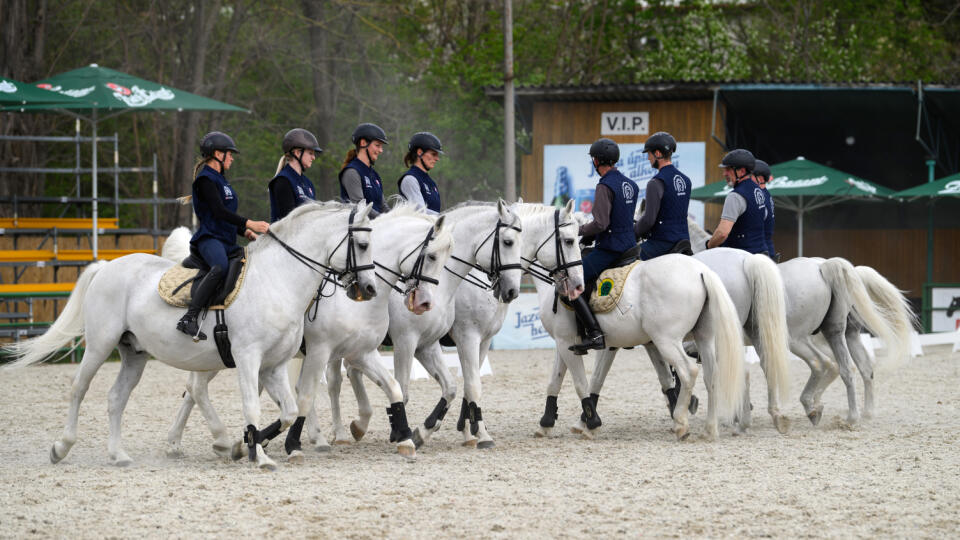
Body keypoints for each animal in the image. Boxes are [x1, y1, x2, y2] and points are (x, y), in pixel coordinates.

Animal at [4, 200, 378, 470]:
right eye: (362, 243)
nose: (369, 289)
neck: (278, 279)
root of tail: (108, 265)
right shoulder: (248, 358)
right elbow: (252, 406)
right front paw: (256, 454)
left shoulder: (273, 365)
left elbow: (287, 411)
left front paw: (245, 446)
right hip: (99, 345)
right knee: (79, 389)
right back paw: (61, 447)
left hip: (134, 354)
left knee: (116, 398)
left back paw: (119, 455)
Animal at [163, 202, 456, 460]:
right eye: (431, 256)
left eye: (446, 258)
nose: (425, 303)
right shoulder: (328, 349)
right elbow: (306, 395)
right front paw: (288, 443)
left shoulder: (363, 351)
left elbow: (395, 388)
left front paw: (404, 436)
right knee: (196, 388)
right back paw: (212, 441)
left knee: (195, 390)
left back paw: (180, 443)